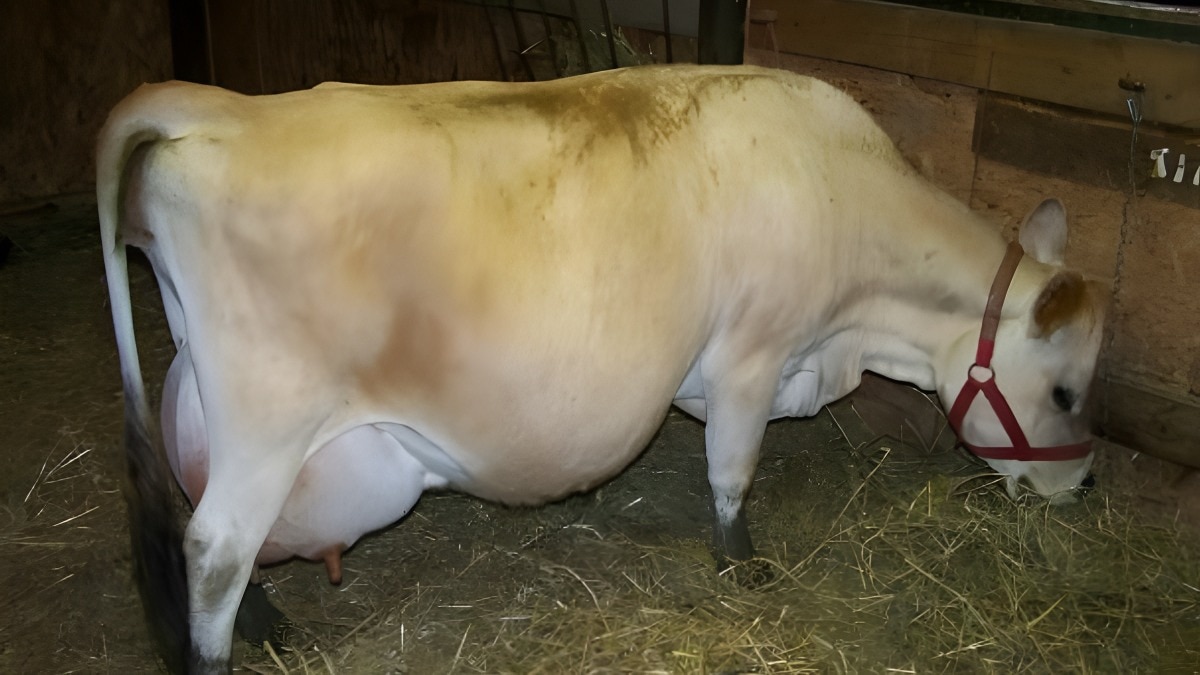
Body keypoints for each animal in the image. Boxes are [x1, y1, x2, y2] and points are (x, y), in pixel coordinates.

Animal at [97, 65, 1105, 673]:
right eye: (1064, 391)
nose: (1088, 483)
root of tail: (220, 106)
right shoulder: (752, 350)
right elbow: (732, 471)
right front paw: (742, 565)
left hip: (213, 391)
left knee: (203, 506)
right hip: (270, 414)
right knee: (215, 546)